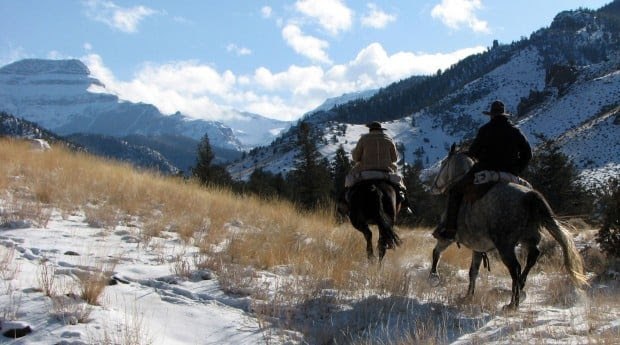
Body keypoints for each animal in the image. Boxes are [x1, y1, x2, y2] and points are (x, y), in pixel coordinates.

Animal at [428, 144, 588, 308]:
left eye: (443, 163)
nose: (433, 187)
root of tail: (528, 196)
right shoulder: (478, 247)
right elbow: (473, 271)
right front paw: (468, 296)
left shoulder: (448, 237)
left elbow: (436, 252)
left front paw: (434, 278)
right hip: (529, 238)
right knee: (532, 257)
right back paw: (521, 290)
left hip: (505, 245)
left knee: (515, 268)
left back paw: (512, 303)